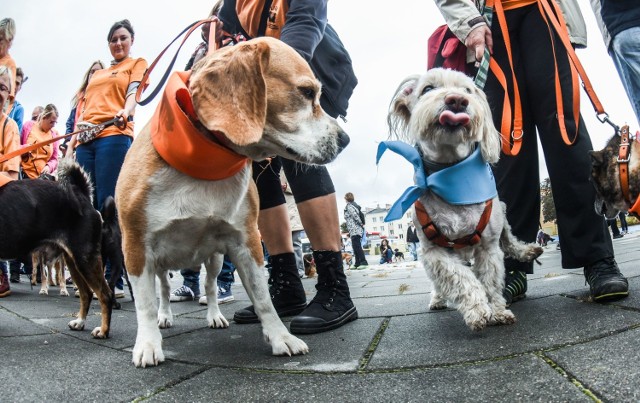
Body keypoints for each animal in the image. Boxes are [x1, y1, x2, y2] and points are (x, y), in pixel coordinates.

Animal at [0, 159, 114, 340]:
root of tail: (82, 194)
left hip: (85, 258)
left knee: (105, 294)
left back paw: (103, 330)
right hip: (73, 261)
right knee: (86, 293)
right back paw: (80, 322)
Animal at [388, 68, 544, 332]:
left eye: (468, 90)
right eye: (427, 89)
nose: (457, 100)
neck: (451, 176)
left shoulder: (489, 246)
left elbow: (491, 282)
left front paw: (498, 311)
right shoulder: (433, 252)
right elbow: (461, 279)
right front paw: (477, 310)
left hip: (501, 214)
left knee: (509, 240)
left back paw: (527, 250)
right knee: (441, 282)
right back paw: (438, 298)